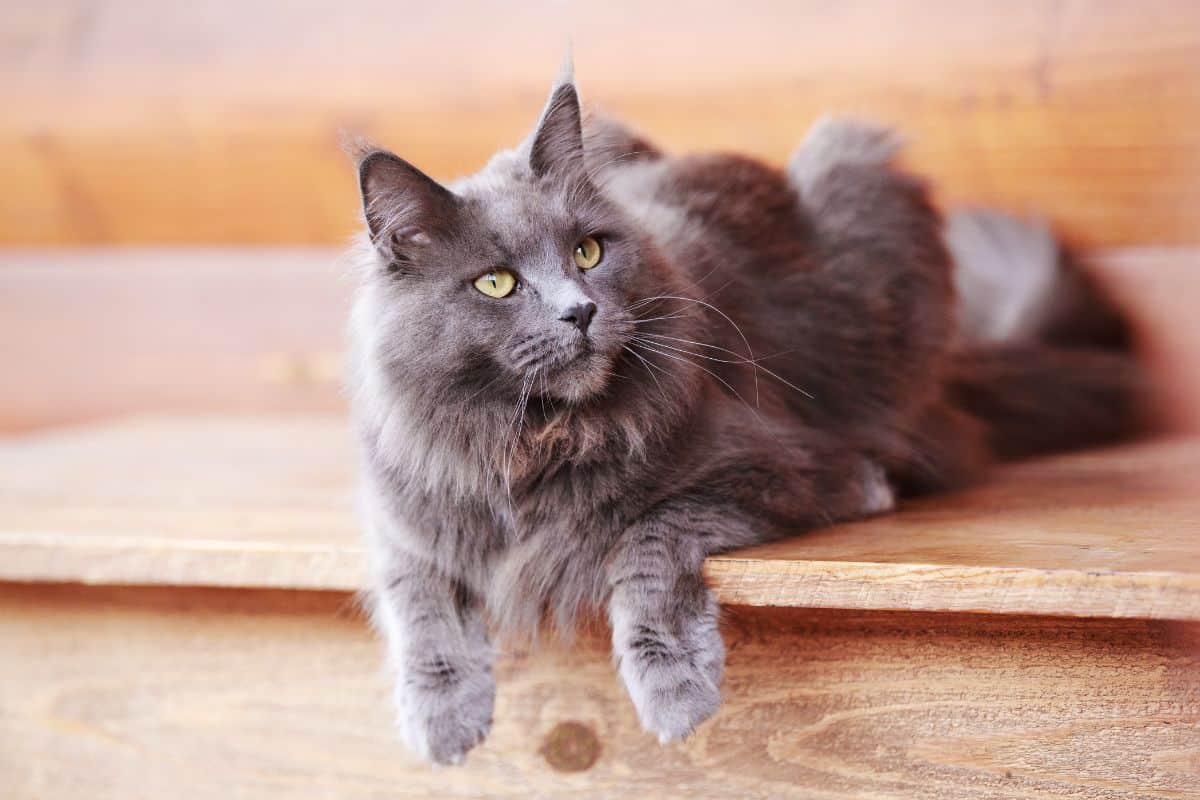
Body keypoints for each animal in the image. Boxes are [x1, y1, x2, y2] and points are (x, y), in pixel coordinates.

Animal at [345, 67, 1142, 762]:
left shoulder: (770, 466)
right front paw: (442, 720)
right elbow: (414, 599)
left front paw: (674, 691)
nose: (580, 311)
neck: (538, 443)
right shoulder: (405, 512)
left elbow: (643, 539)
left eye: (588, 251)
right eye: (497, 284)